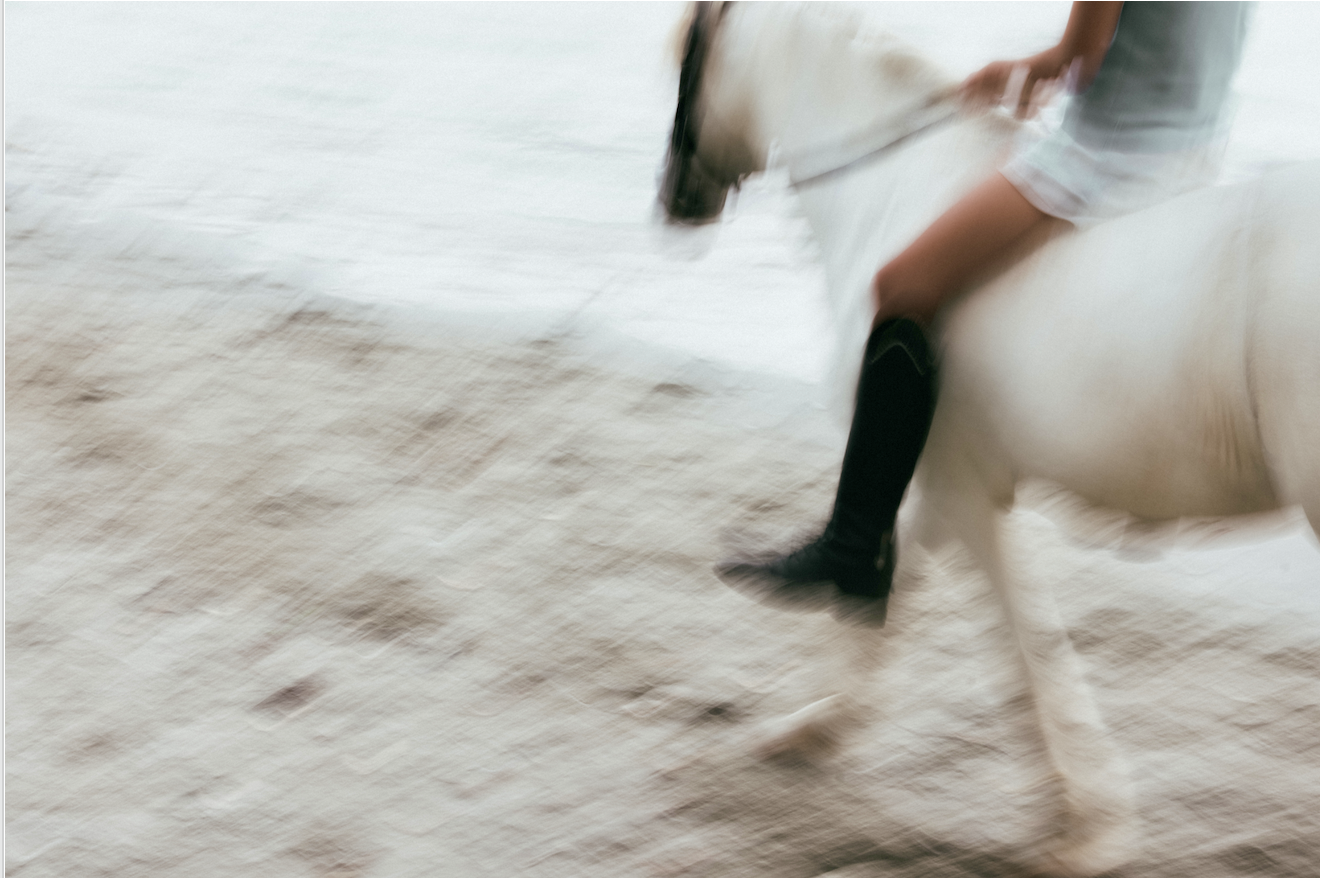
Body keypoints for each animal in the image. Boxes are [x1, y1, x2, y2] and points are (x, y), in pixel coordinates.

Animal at [658, 4, 1320, 876]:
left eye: (686, 61)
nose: (674, 203)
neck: (896, 183)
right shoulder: (945, 481)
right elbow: (895, 592)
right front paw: (815, 727)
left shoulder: (965, 490)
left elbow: (1024, 643)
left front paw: (1085, 828)